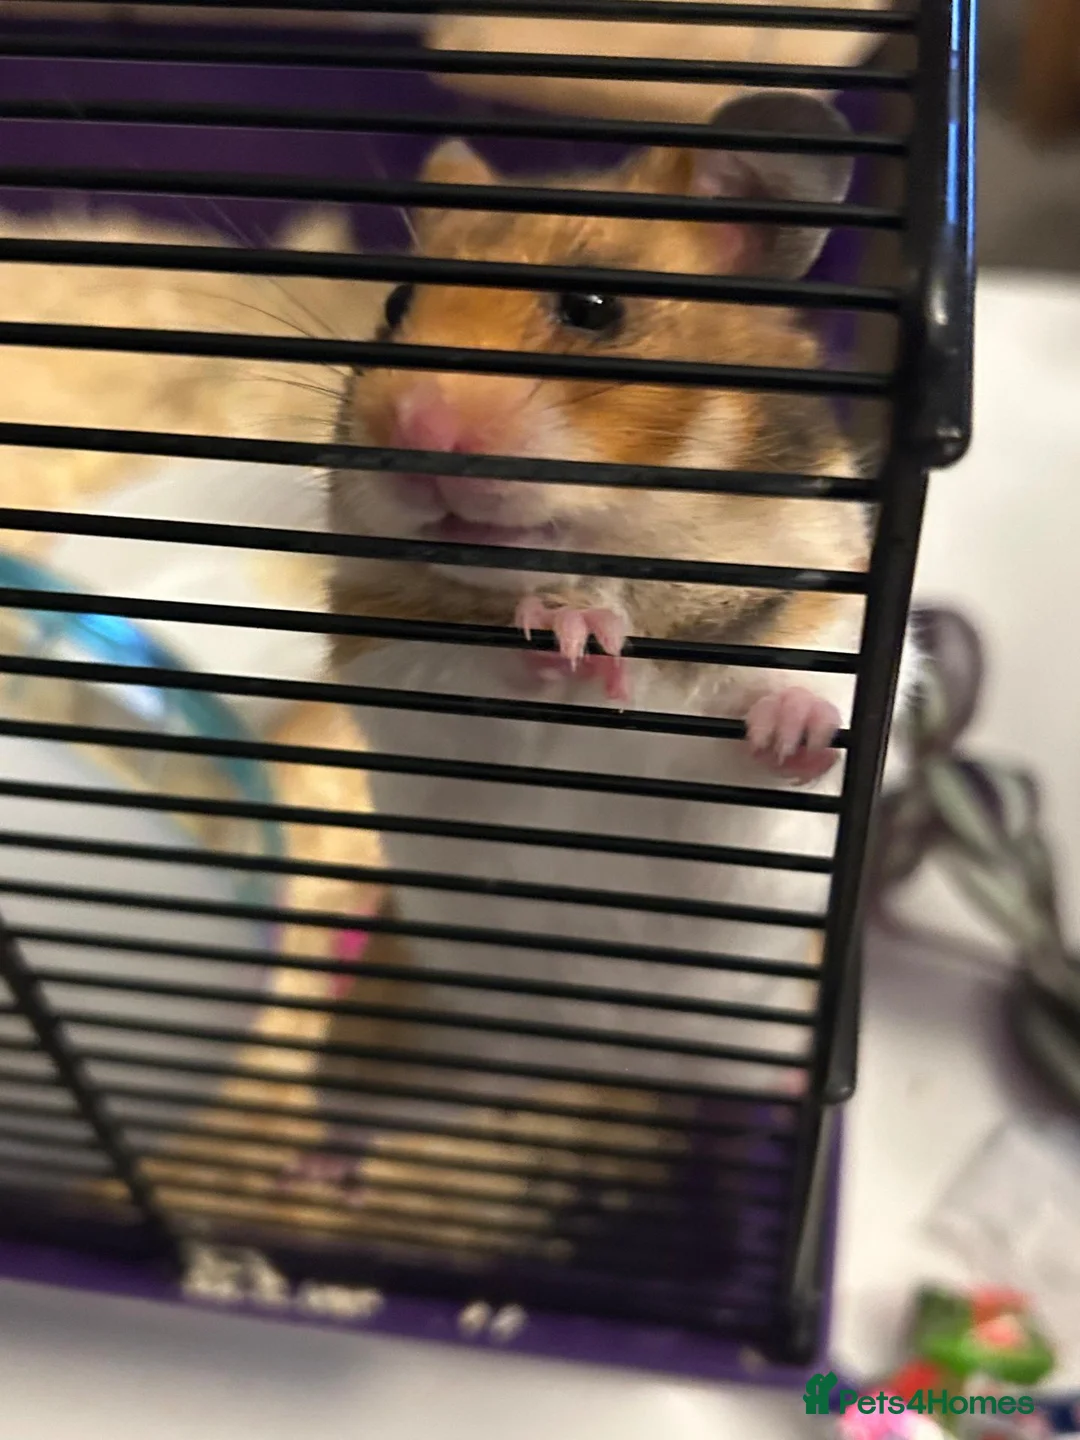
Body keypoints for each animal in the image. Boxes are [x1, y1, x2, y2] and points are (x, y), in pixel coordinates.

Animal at [323, 93, 918, 1117]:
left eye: (595, 309)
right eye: (395, 306)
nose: (416, 430)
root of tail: (614, 1066)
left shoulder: (829, 608)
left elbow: (801, 706)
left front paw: (787, 728)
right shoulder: (386, 663)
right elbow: (479, 664)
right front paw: (577, 631)